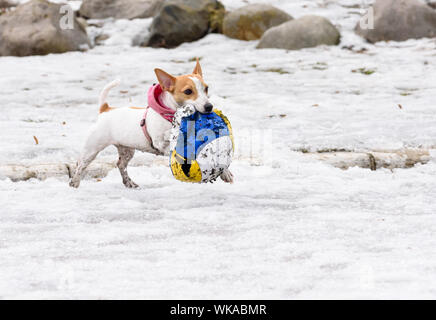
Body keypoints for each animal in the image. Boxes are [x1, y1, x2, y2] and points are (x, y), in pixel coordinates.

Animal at [70, 59, 235, 189]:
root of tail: (106, 109)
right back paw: (74, 183)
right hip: (92, 149)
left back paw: (129, 182)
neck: (172, 116)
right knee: (80, 165)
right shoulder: (160, 143)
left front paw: (225, 173)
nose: (209, 107)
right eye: (188, 91)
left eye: (206, 88)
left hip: (127, 150)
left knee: (120, 165)